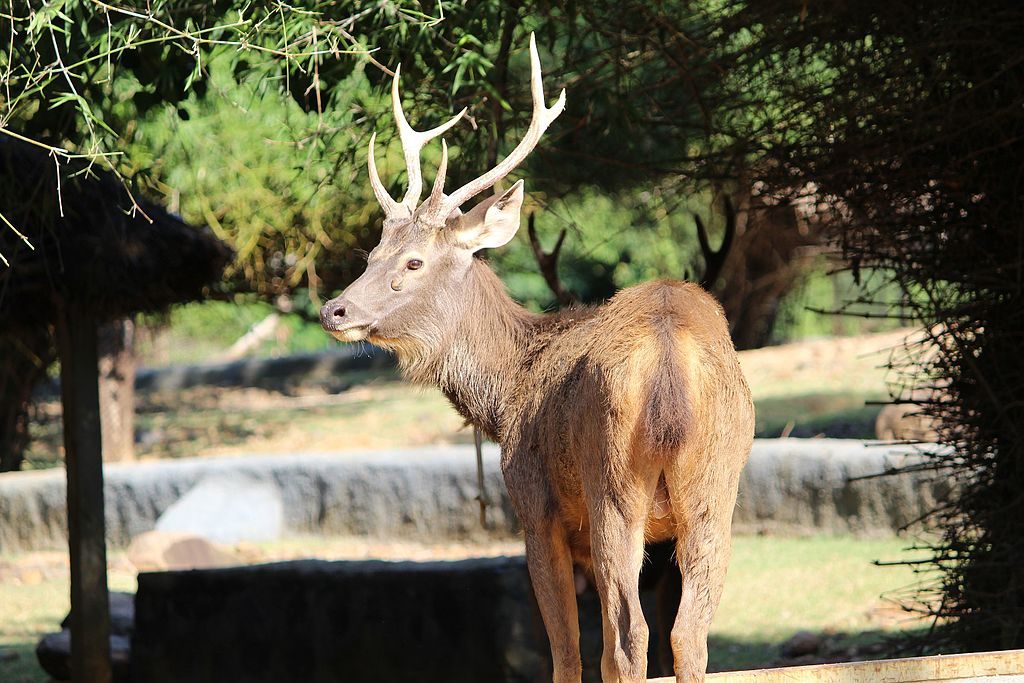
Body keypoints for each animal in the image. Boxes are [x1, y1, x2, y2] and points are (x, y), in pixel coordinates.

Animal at [319, 37, 753, 683]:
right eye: (372, 253)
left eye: (414, 262)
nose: (334, 310)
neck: (506, 393)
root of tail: (669, 361)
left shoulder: (534, 506)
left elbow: (568, 653)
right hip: (716, 486)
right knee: (689, 634)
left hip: (610, 483)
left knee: (631, 637)